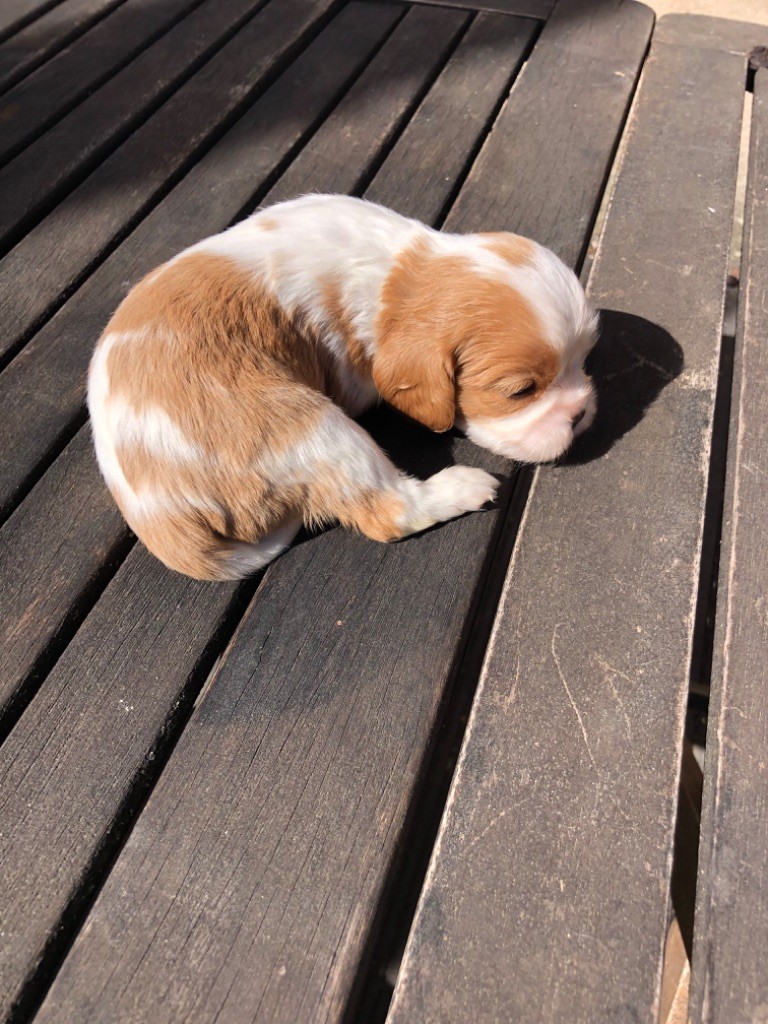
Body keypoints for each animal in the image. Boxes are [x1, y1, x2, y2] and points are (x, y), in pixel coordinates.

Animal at [88, 195, 597, 581]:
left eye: (584, 360)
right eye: (520, 391)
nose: (579, 415)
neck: (394, 279)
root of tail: (157, 515)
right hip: (314, 426)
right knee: (390, 512)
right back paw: (462, 487)